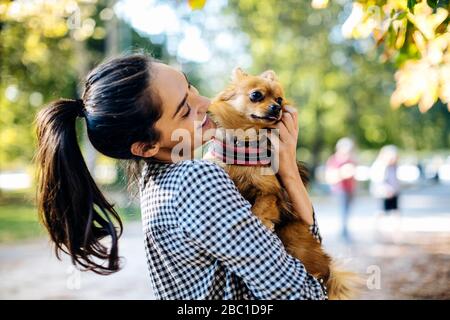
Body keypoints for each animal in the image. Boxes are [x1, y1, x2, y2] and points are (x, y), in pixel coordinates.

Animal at [205, 67, 358, 300]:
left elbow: (262, 205)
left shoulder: (272, 191)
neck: (246, 144)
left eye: (279, 99)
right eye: (256, 95)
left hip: (294, 236)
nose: (277, 107)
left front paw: (261, 220)